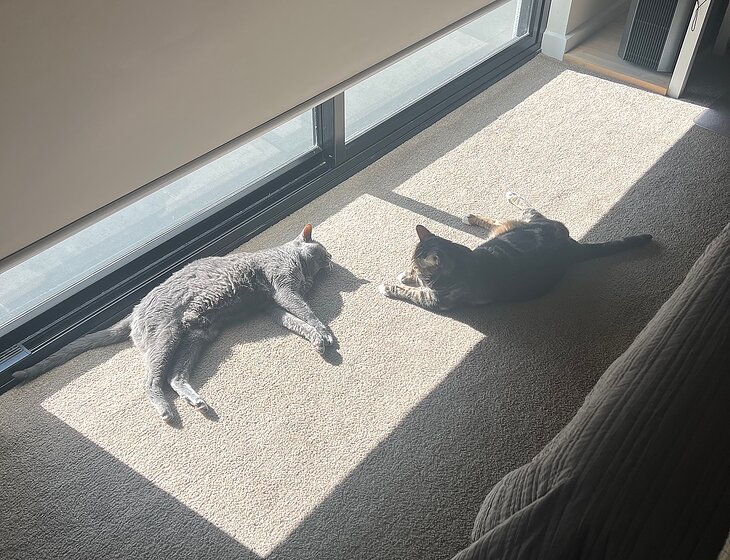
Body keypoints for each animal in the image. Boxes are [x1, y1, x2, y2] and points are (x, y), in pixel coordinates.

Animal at [13, 224, 334, 422]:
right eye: (324, 252)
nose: (332, 258)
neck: (301, 272)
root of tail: (134, 310)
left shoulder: (271, 308)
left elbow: (297, 322)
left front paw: (316, 339)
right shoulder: (283, 289)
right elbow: (307, 312)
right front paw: (325, 333)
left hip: (196, 337)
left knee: (174, 377)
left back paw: (196, 401)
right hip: (167, 336)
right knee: (150, 381)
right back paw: (166, 410)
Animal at [379, 192, 652, 311]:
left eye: (418, 268)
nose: (412, 270)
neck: (462, 261)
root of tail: (572, 246)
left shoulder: (433, 300)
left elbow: (409, 292)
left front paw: (391, 285)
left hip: (527, 220)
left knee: (525, 207)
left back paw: (510, 196)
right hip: (508, 229)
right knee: (499, 220)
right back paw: (473, 216)